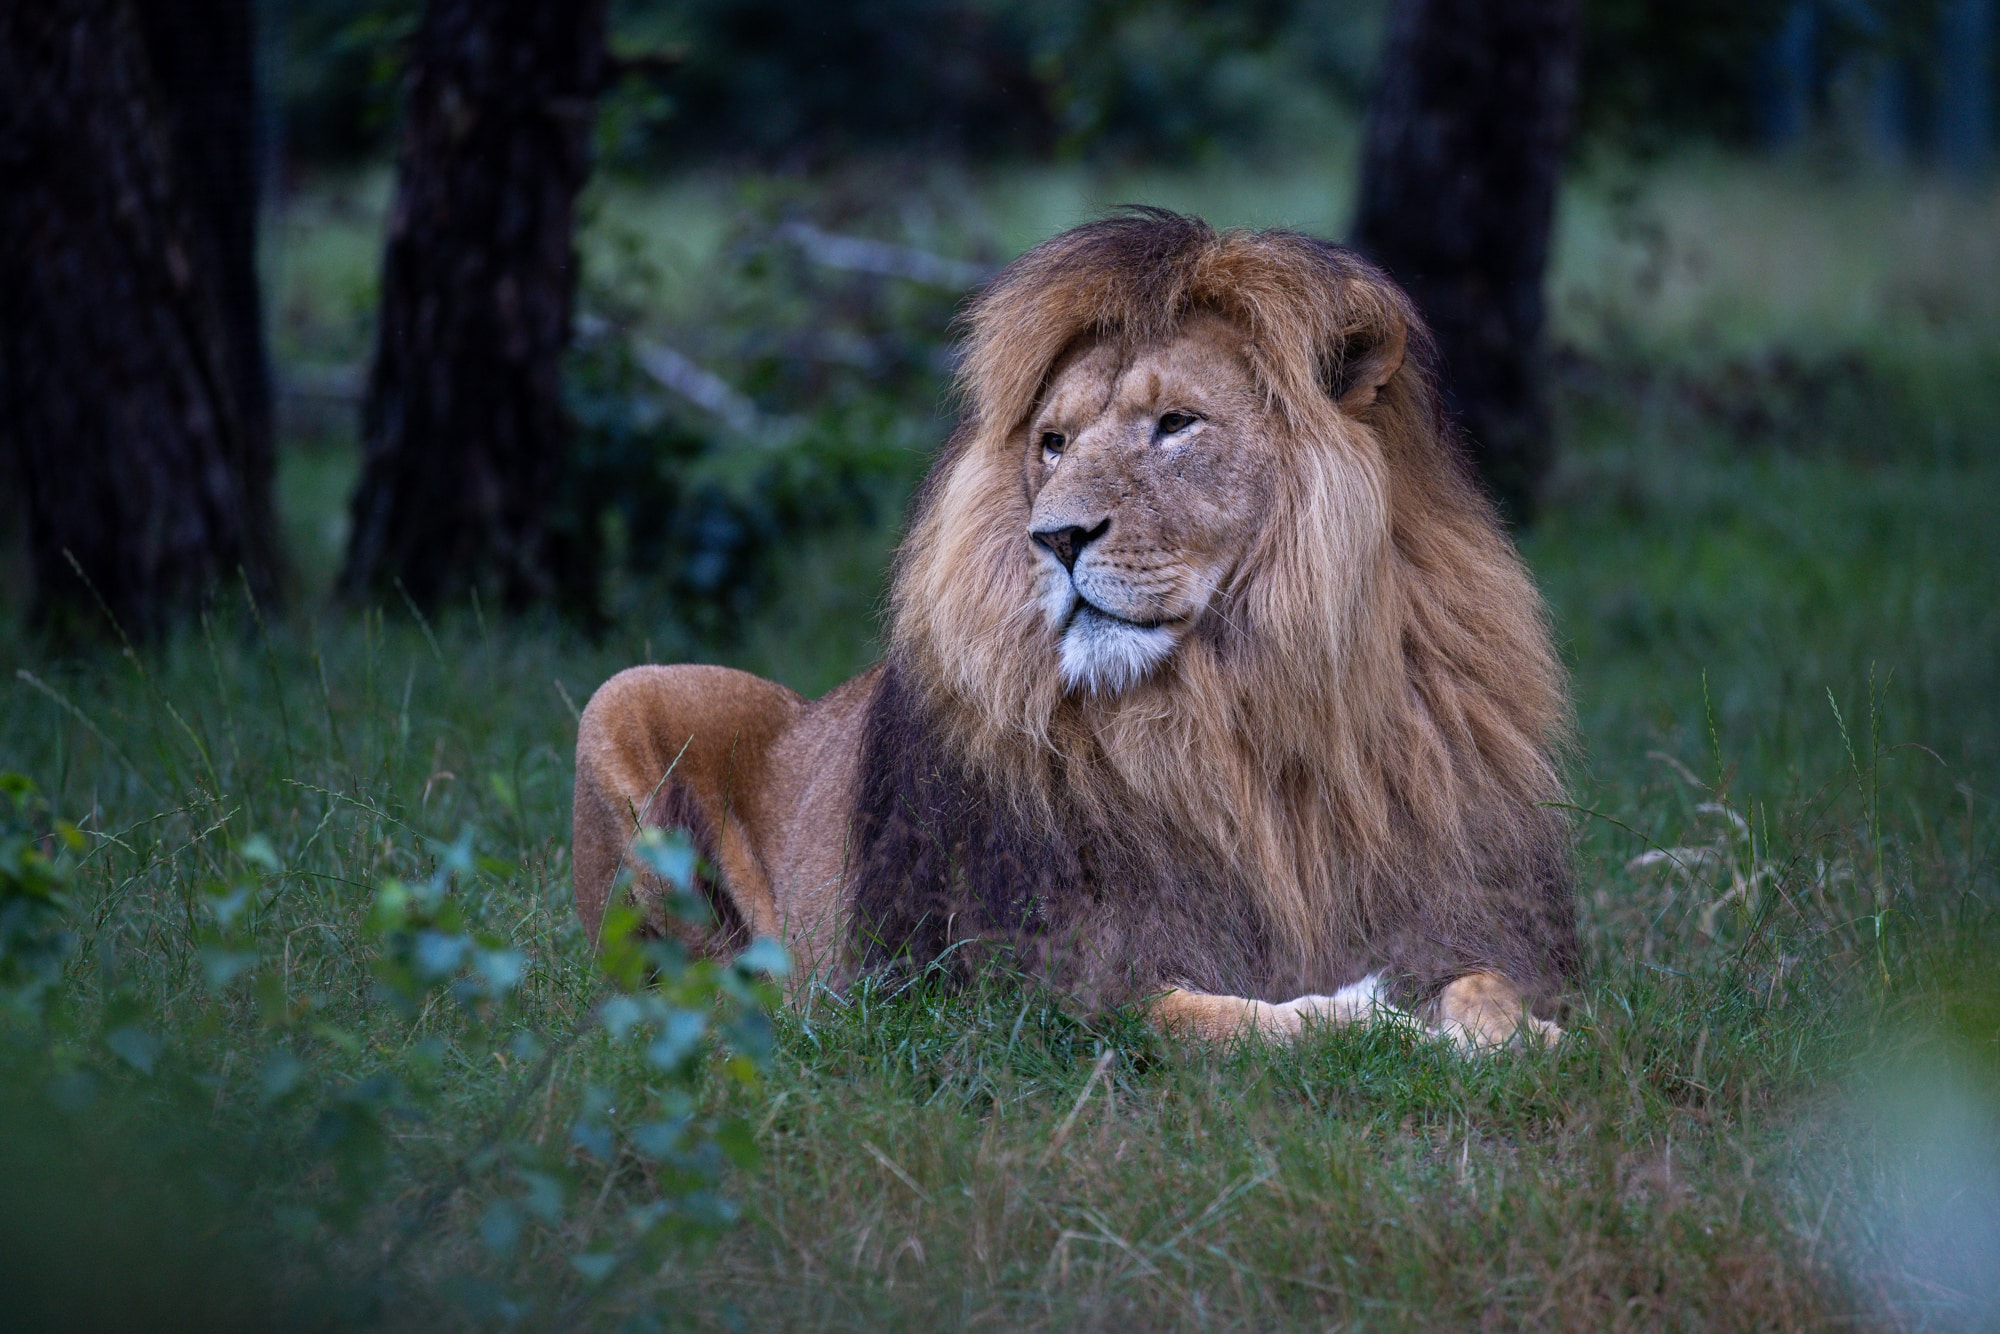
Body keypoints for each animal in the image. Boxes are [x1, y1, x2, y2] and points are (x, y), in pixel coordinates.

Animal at [568, 211, 1576, 1056]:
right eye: (1052, 443)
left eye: (1176, 424)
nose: (1053, 537)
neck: (1239, 712)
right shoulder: (1001, 988)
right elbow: (1218, 1018)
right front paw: (1375, 1016)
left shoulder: (1451, 910)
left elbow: (1488, 981)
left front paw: (1520, 1035)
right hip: (623, 701)